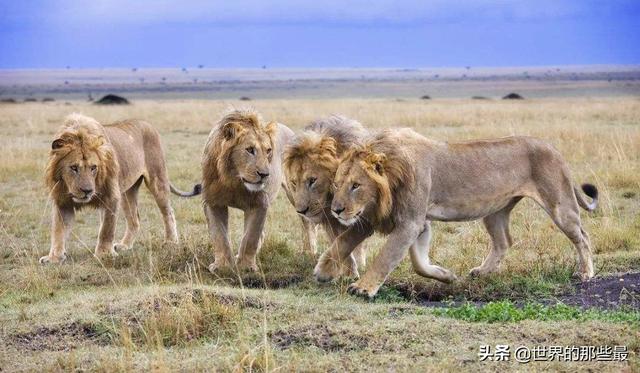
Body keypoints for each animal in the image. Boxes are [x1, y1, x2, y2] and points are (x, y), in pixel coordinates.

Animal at [40, 112, 200, 264]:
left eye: (93, 168)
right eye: (73, 167)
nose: (87, 191)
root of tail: (147, 123)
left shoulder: (111, 196)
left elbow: (106, 229)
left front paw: (104, 254)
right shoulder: (62, 202)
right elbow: (58, 230)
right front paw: (54, 257)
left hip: (157, 179)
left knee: (168, 212)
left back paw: (171, 242)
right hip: (127, 192)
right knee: (134, 219)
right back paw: (125, 245)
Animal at [202, 107, 312, 270]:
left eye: (268, 150)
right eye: (249, 149)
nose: (264, 174)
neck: (234, 180)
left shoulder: (259, 203)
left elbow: (251, 236)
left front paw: (246, 266)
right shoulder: (213, 201)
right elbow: (219, 235)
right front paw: (223, 266)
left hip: (297, 194)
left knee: (307, 221)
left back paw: (309, 252)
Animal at [284, 114, 370, 268]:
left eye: (312, 180)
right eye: (294, 182)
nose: (302, 210)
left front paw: (360, 264)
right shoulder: (329, 221)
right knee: (307, 227)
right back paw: (309, 253)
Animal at [312, 129, 596, 298]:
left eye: (356, 185)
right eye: (337, 184)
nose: (336, 210)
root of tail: (554, 148)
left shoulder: (410, 223)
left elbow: (385, 258)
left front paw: (363, 288)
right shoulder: (383, 218)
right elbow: (343, 242)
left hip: (559, 204)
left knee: (582, 236)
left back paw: (586, 273)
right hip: (495, 211)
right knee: (504, 241)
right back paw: (482, 272)